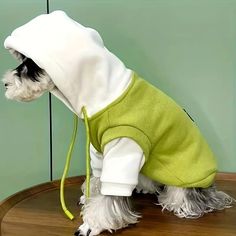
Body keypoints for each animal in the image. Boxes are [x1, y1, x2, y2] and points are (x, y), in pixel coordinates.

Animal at [2, 10, 234, 235]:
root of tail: (212, 187)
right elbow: (98, 178)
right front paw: (88, 197)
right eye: (23, 60)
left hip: (185, 181)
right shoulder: (98, 148)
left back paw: (182, 205)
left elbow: (110, 193)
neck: (105, 96)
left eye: (32, 66)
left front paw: (91, 225)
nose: (5, 83)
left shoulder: (124, 147)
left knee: (184, 197)